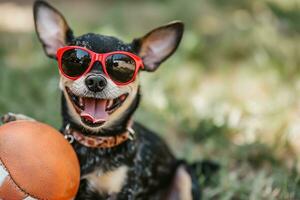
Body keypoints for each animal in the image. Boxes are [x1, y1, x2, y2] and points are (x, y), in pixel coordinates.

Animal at [1, 0, 219, 199]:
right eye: (75, 61)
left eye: (121, 67)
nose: (96, 81)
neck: (95, 142)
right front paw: (21, 119)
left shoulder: (123, 192)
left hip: (184, 173)